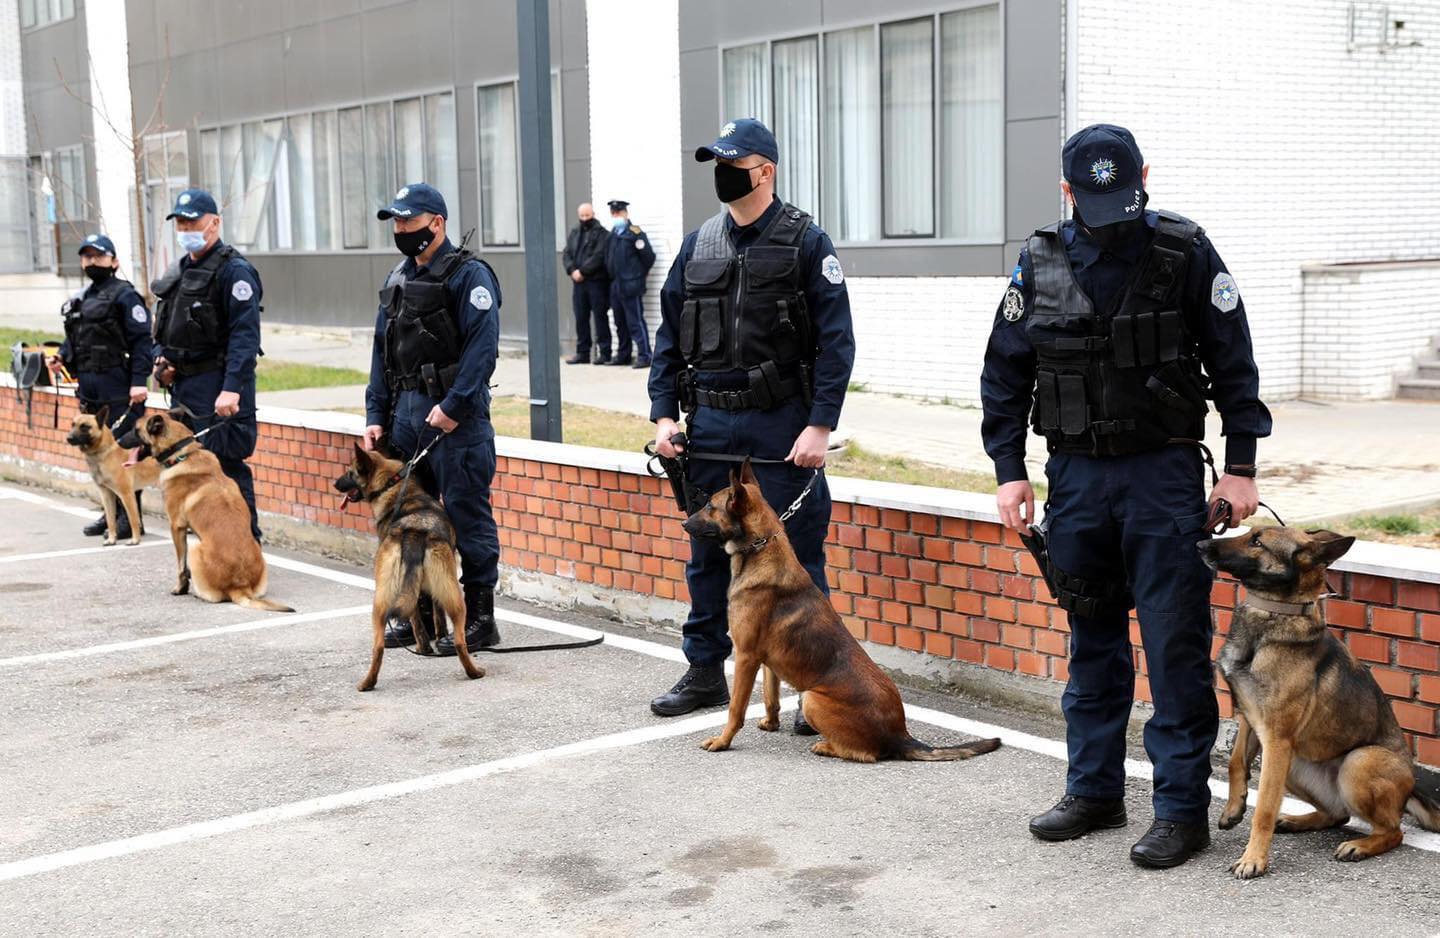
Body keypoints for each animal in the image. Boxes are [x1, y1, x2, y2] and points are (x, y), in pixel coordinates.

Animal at [65, 406, 159, 550]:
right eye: (72, 424)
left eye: (85, 427)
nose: (68, 438)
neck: (105, 452)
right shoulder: (107, 495)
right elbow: (110, 520)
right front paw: (111, 539)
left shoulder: (127, 495)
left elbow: (133, 519)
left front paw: (135, 540)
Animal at [122, 412, 293, 616]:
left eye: (135, 429)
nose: (118, 439)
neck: (182, 453)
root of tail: (241, 586)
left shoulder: (176, 527)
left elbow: (181, 566)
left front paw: (180, 589)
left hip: (196, 547)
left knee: (213, 595)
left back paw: (198, 593)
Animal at [329, 443, 478, 694]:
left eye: (350, 472)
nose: (335, 484)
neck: (395, 487)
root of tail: (414, 532)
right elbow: (435, 616)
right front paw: (436, 639)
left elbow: (422, 616)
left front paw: (427, 643)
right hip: (451, 597)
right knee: (458, 641)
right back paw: (472, 670)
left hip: (383, 601)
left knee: (379, 646)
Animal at [682, 461, 1002, 760]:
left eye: (710, 506)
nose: (684, 523)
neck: (760, 550)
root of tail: (901, 735)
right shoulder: (765, 660)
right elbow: (771, 696)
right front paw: (771, 723)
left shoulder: (746, 656)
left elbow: (735, 709)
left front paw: (723, 741)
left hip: (812, 697)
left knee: (866, 754)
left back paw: (826, 746)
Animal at [1198, 527, 1440, 881]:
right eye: (1249, 532)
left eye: (1257, 541)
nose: (1201, 543)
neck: (1275, 612)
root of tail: (1411, 790)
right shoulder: (1250, 720)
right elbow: (1236, 762)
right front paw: (1233, 809)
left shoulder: (1276, 739)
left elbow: (1265, 808)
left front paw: (1253, 859)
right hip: (1295, 764)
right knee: (1338, 814)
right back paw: (1298, 820)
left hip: (1355, 762)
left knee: (1394, 831)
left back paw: (1359, 846)